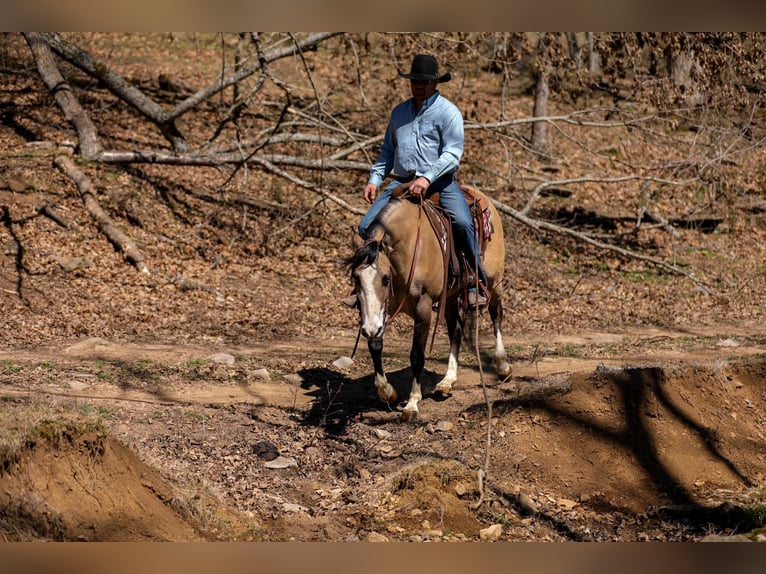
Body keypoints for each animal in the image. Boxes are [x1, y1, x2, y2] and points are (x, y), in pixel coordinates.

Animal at [346, 185, 511, 421]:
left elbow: (417, 354)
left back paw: (503, 365)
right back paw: (447, 381)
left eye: (385, 278)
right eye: (356, 278)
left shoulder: (422, 308)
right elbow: (375, 346)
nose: (368, 330)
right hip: (450, 296)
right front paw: (388, 393)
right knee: (456, 330)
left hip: (494, 281)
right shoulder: (377, 311)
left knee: (496, 315)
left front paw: (412, 403)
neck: (407, 250)